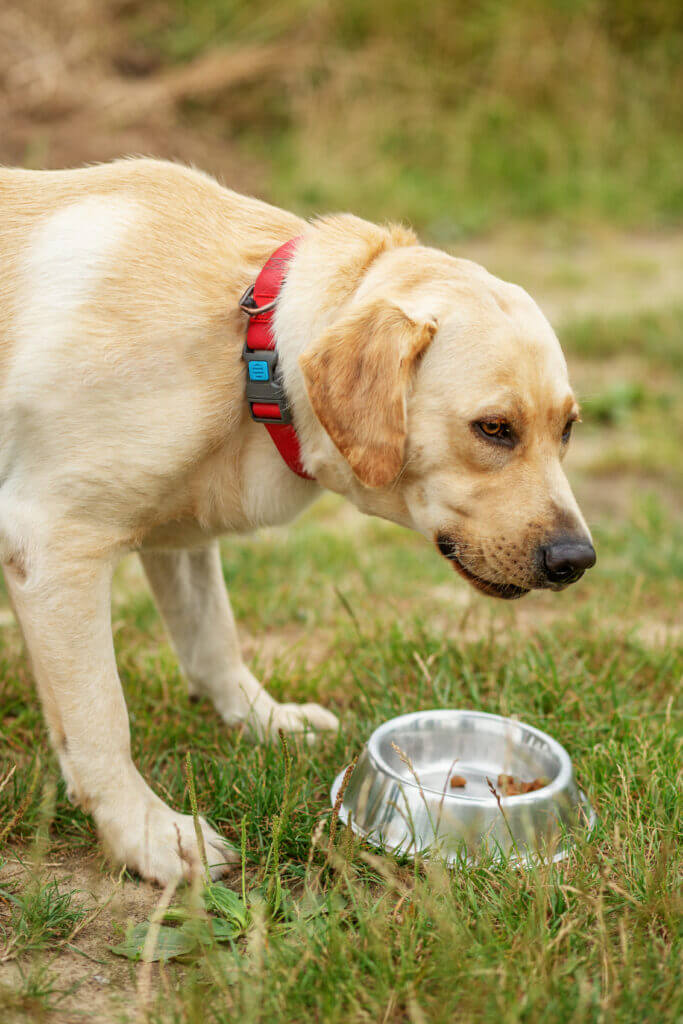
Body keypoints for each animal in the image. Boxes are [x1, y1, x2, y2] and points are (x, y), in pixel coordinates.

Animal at [0, 157, 593, 880]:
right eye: (494, 429)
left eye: (567, 429)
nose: (576, 560)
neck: (249, 353)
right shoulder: (54, 544)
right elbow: (100, 719)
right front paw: (149, 834)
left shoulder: (177, 537)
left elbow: (214, 639)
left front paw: (261, 719)